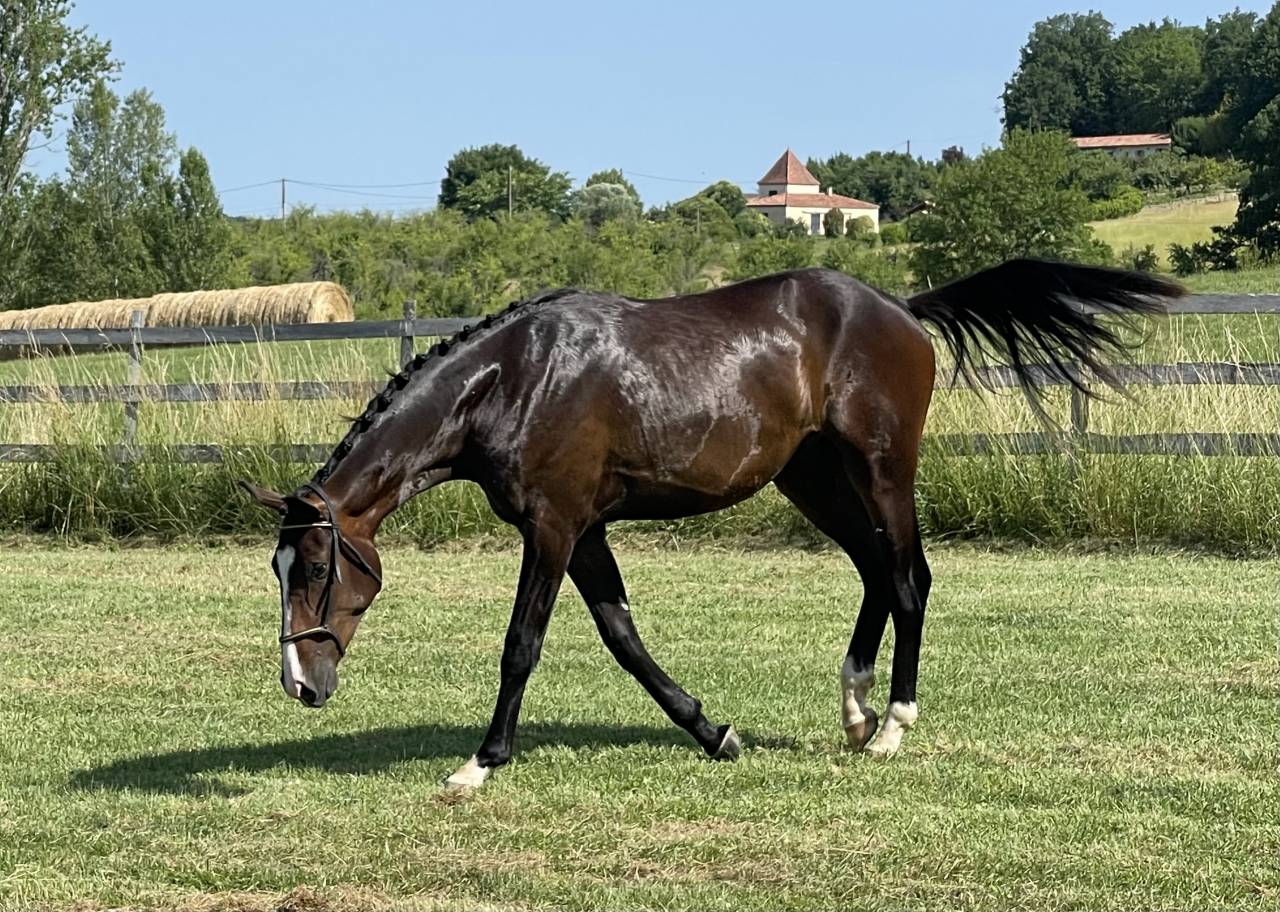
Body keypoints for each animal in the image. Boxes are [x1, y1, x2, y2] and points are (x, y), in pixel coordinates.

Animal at [241, 259, 1181, 789]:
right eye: (281, 572)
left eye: (317, 568)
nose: (299, 685)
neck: (516, 379)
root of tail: (901, 309)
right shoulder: (586, 533)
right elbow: (624, 639)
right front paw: (714, 733)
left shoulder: (553, 528)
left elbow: (522, 645)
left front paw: (479, 764)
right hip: (813, 479)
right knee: (876, 574)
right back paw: (853, 713)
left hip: (882, 471)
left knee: (909, 578)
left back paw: (891, 728)